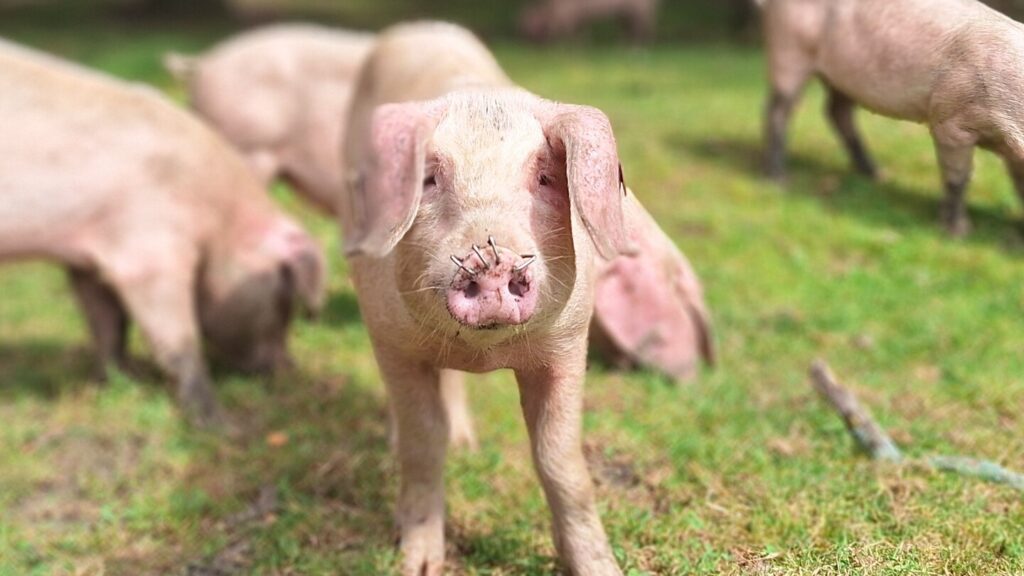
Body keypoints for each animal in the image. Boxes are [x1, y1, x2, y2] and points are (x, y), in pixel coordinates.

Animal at [0, 39, 326, 428]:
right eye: (284, 297)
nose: (290, 368)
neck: (217, 216)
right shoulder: (148, 251)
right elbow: (179, 341)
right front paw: (222, 426)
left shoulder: (88, 257)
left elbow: (107, 323)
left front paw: (122, 381)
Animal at [341, 21, 710, 575]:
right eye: (429, 178)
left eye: (544, 176)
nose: (491, 258)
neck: (484, 354)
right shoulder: (392, 339)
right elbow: (423, 443)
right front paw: (417, 564)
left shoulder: (567, 343)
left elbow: (561, 459)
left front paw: (601, 566)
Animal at [519, 0, 660, 43]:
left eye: (529, 23)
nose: (523, 36)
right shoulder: (580, 19)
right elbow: (583, 35)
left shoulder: (569, 16)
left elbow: (569, 35)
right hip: (626, 15)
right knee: (629, 31)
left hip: (640, 12)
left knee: (643, 31)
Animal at [761, 0, 1024, 236]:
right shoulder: (951, 123)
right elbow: (958, 178)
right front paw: (958, 233)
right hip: (789, 49)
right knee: (778, 110)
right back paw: (777, 180)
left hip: (842, 78)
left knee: (836, 112)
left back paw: (876, 174)